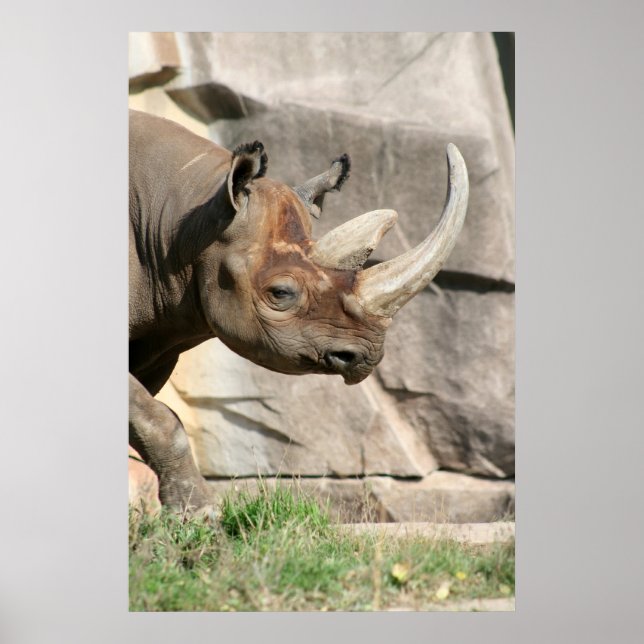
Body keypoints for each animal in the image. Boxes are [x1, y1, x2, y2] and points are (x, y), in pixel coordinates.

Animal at [129, 109, 469, 515]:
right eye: (280, 293)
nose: (367, 356)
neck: (189, 222)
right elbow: (154, 417)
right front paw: (200, 514)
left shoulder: (158, 338)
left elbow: (144, 413)